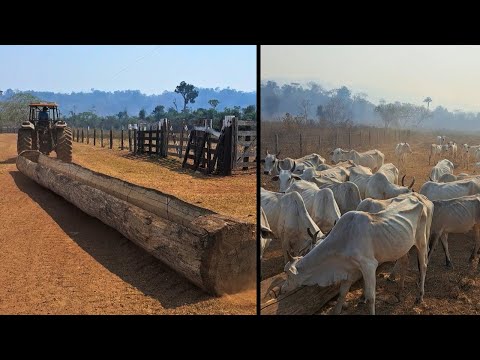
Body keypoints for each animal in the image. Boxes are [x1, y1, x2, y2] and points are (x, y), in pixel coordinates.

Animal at [280, 197, 430, 316]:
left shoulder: (369, 266)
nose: (282, 289)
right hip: (402, 246)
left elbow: (371, 298)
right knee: (404, 262)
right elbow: (342, 294)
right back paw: (399, 292)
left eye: (288, 274)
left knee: (423, 266)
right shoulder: (349, 269)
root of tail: (419, 201)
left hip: (421, 242)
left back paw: (420, 296)